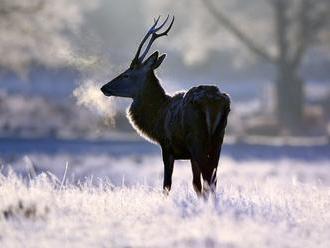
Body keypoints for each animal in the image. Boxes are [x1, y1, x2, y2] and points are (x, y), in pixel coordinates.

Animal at [102, 16, 231, 198]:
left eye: (126, 74)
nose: (104, 87)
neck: (158, 116)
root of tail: (214, 101)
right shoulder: (189, 155)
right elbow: (196, 185)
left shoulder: (167, 146)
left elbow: (167, 185)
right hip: (218, 139)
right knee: (212, 180)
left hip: (197, 139)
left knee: (208, 180)